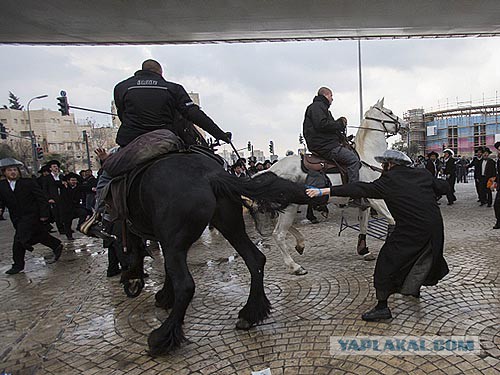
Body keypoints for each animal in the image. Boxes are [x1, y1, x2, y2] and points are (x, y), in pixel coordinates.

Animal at [121, 152, 308, 356]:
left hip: (204, 231)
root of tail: (211, 175)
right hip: (237, 221)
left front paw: (161, 295)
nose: (131, 285)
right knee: (270, 242)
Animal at [250, 100, 406, 276]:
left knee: (282, 227)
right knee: (279, 234)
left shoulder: (365, 204)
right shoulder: (376, 200)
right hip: (290, 207)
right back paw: (295, 266)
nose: (405, 124)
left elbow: (364, 226)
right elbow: (392, 219)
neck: (368, 157)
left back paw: (300, 244)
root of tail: (271, 170)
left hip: (286, 207)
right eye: (390, 112)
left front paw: (364, 251)